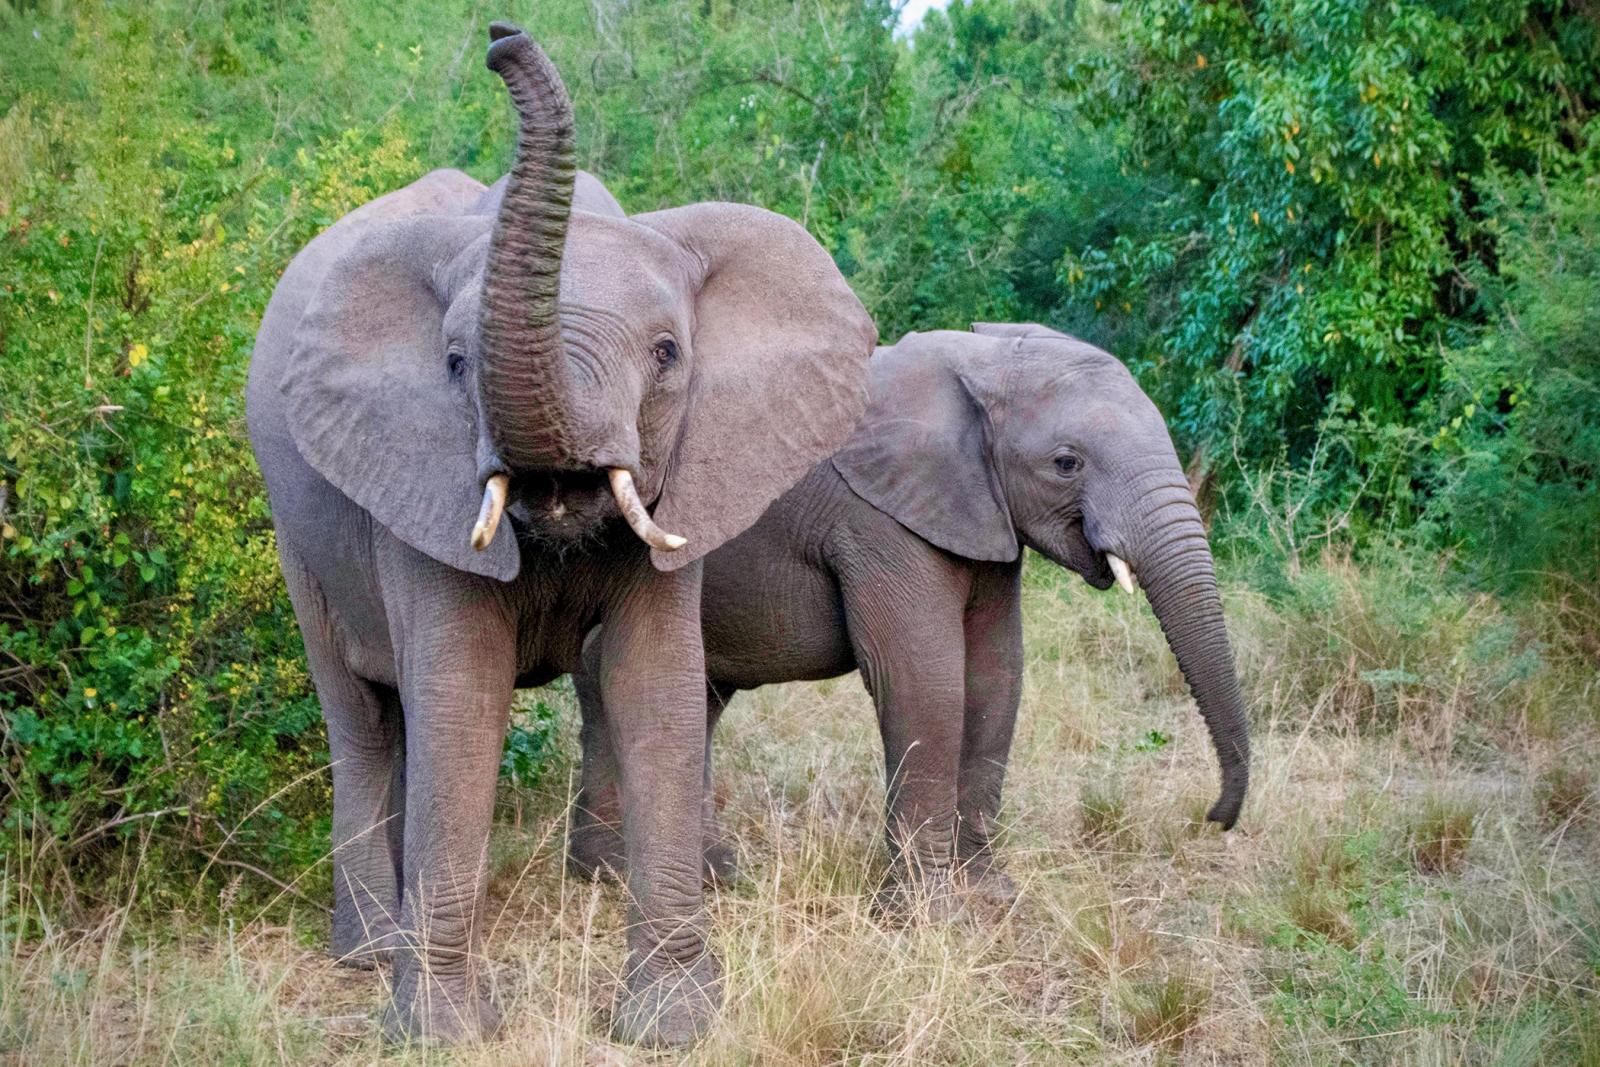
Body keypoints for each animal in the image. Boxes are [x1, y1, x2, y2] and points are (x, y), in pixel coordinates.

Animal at [245, 24, 874, 1047]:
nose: (503, 40)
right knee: (364, 717)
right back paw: (369, 953)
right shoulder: (415, 474)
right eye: (454, 363)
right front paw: (442, 1035)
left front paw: (670, 1025)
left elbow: (653, 684)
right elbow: (463, 690)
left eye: (667, 354)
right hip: (294, 520)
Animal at [570, 323, 1250, 913]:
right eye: (1066, 463)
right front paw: (931, 916)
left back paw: (713, 874)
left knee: (700, 697)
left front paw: (991, 895)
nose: (1213, 817)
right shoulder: (876, 521)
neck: (979, 364)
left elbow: (996, 677)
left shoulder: (981, 517)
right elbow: (925, 680)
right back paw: (609, 876)